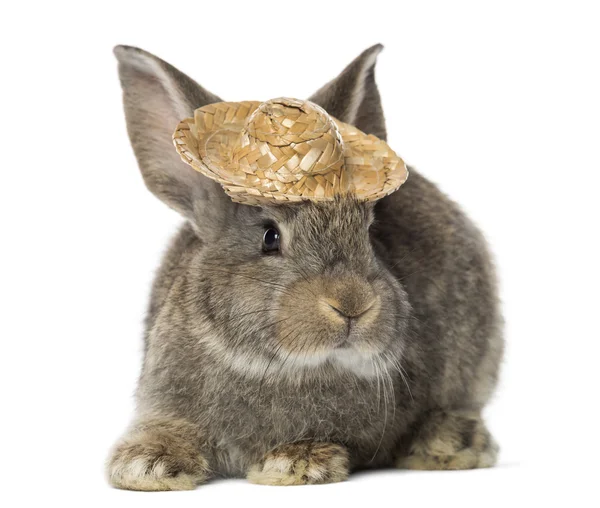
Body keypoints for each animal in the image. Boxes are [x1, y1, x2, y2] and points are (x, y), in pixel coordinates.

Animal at [106, 44, 502, 492]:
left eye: (369, 232)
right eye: (269, 237)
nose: (352, 304)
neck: (276, 366)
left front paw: (295, 462)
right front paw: (145, 465)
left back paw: (450, 442)